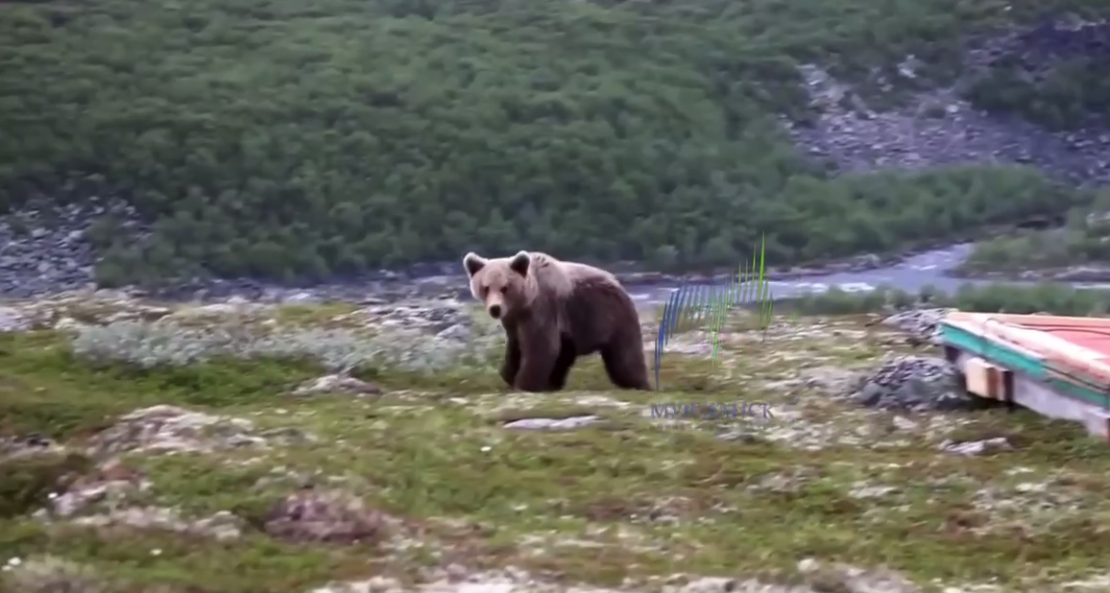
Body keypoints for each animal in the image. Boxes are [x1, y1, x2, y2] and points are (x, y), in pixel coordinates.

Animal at [463, 250, 652, 392]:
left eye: (505, 287)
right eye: (485, 287)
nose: (495, 308)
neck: (524, 303)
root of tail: (618, 283)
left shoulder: (542, 310)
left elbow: (541, 347)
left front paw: (524, 383)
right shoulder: (513, 320)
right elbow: (515, 346)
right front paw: (508, 373)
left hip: (609, 317)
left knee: (625, 357)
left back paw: (639, 384)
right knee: (565, 355)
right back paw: (554, 383)